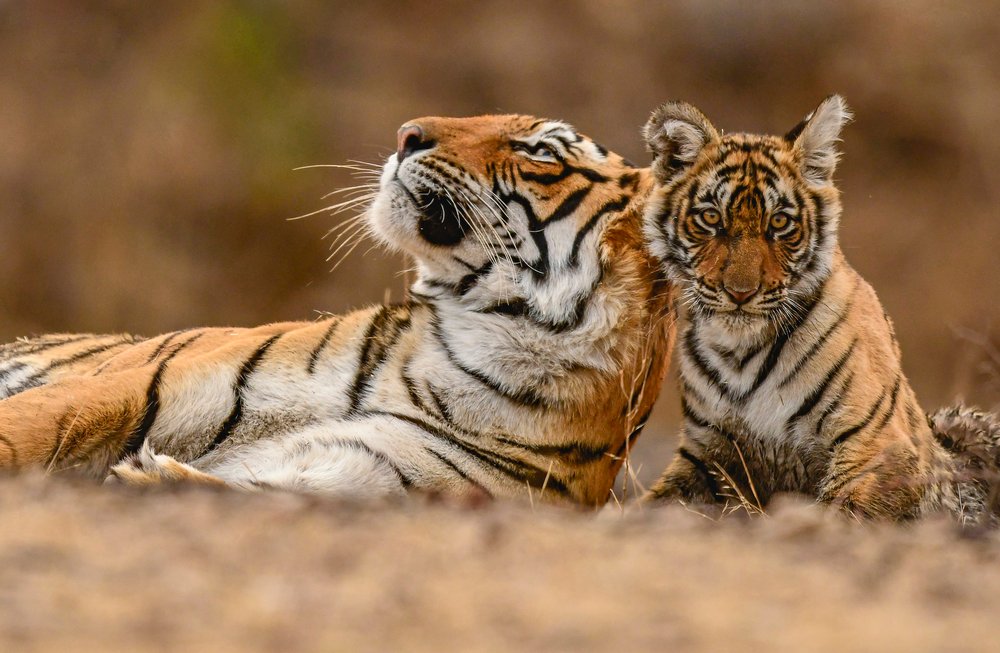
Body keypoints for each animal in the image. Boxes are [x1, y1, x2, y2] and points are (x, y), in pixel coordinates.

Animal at [0, 114, 675, 507]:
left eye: (539, 152)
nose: (406, 134)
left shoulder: (365, 473)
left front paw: (153, 478)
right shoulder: (150, 386)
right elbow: (27, 426)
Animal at [639, 95, 991, 521]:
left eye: (779, 222)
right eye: (710, 218)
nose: (740, 293)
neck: (739, 351)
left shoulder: (877, 444)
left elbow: (844, 509)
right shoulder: (706, 452)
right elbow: (653, 502)